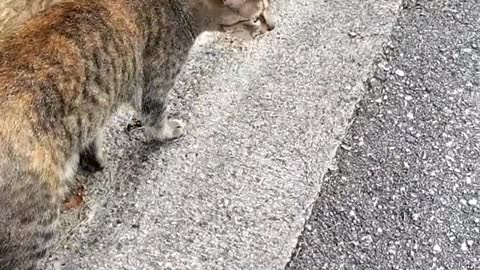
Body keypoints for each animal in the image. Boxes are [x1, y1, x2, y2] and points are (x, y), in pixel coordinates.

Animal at [0, 1, 274, 268]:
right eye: (256, 17)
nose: (272, 26)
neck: (182, 11)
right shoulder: (155, 85)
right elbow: (156, 119)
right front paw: (168, 131)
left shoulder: (96, 109)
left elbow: (93, 136)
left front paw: (94, 160)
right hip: (36, 226)